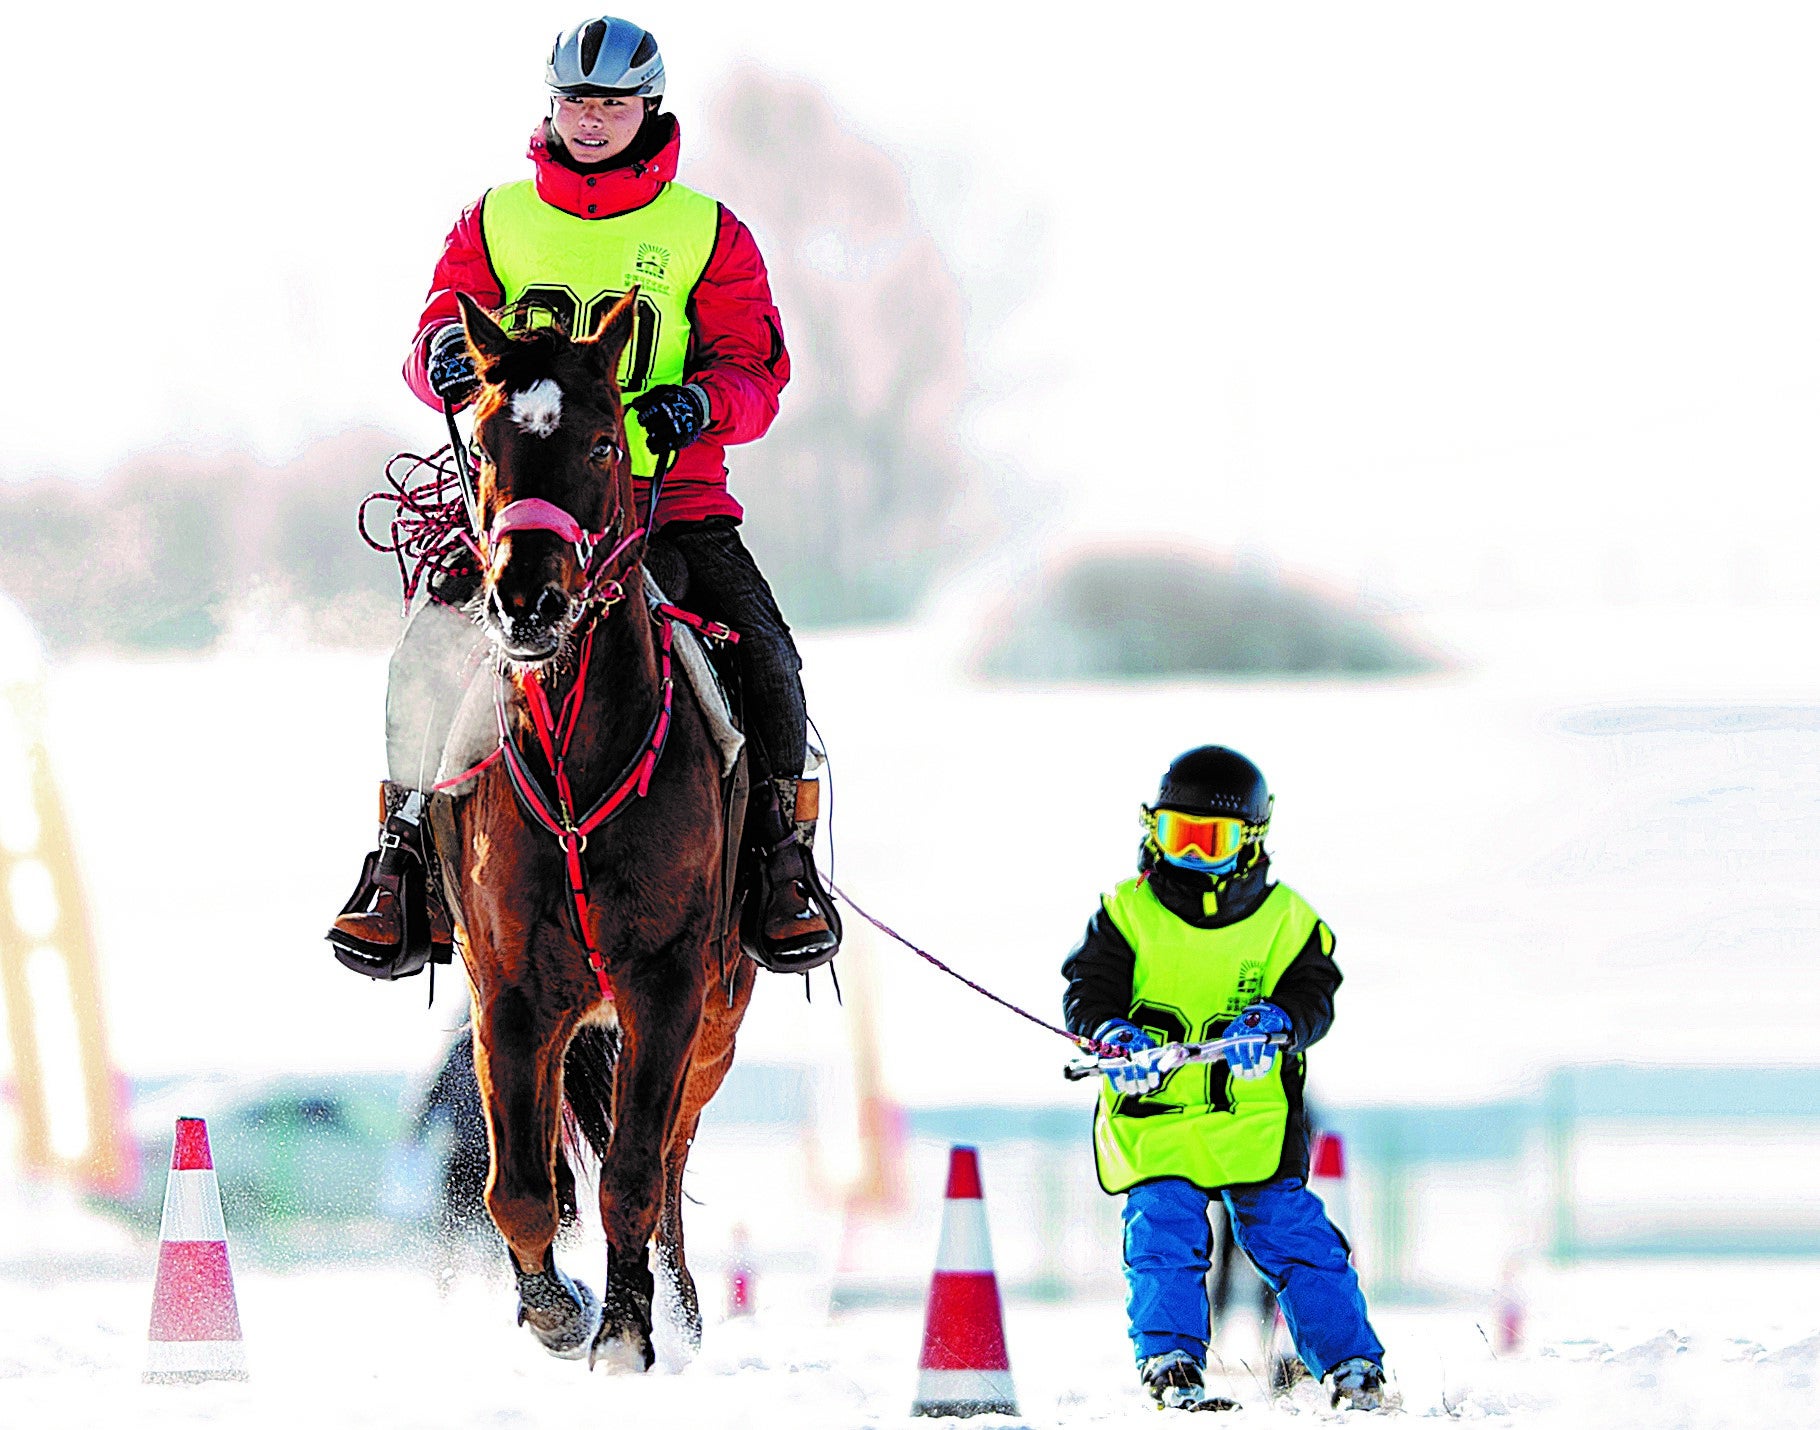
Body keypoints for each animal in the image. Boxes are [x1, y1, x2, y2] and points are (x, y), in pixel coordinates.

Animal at [436, 283, 749, 1368]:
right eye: (487, 439)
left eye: (608, 439)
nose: (527, 601)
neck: (576, 762)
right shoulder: (507, 994)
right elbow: (521, 1188)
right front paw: (557, 1306)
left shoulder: (665, 986)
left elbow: (633, 1174)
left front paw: (624, 1329)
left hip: (714, 1022)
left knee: (667, 1158)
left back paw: (679, 1305)